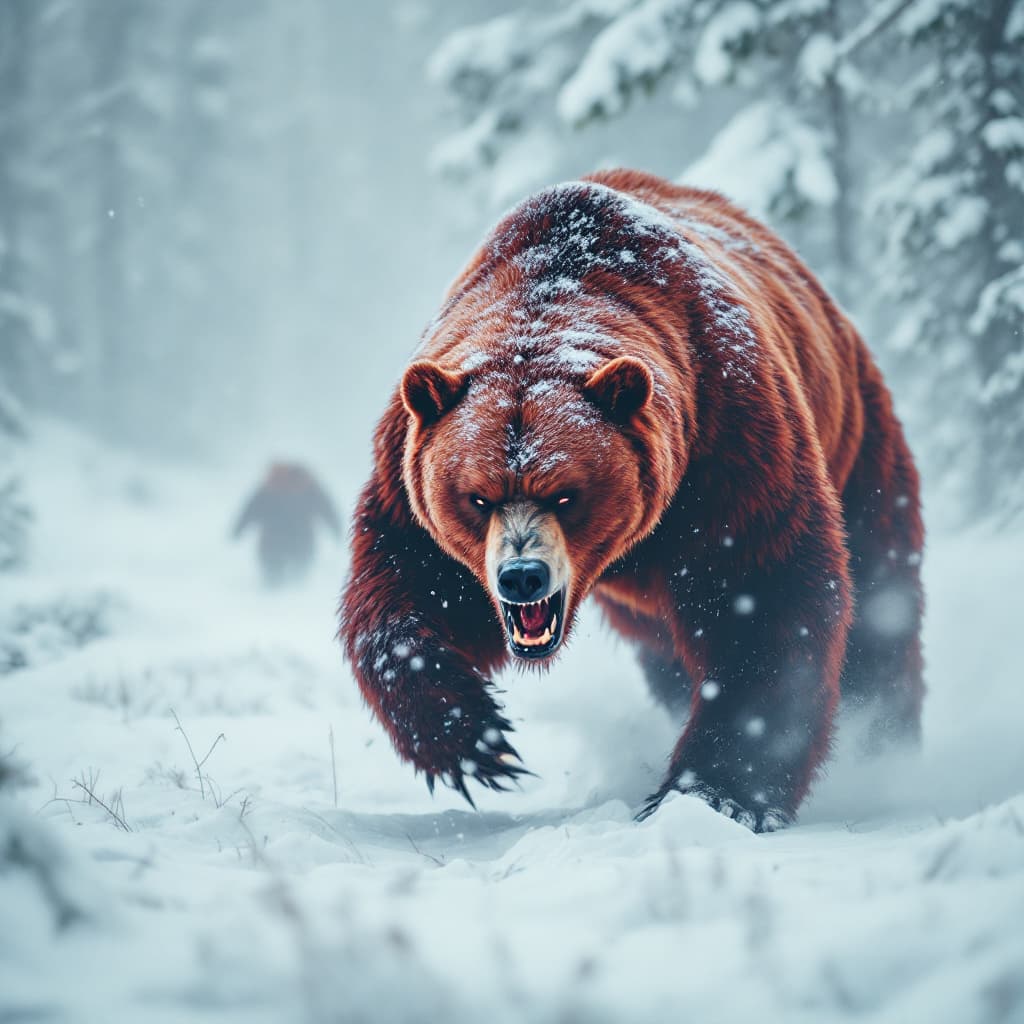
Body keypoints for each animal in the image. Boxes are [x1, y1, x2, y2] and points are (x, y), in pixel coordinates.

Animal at [339, 169, 924, 832]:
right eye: (478, 497)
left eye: (566, 494)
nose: (521, 576)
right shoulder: (410, 465)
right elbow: (406, 591)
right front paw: (480, 744)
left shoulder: (726, 447)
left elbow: (763, 597)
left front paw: (715, 792)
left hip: (858, 440)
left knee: (882, 605)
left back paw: (885, 740)